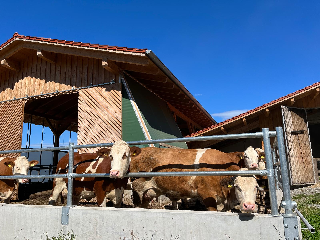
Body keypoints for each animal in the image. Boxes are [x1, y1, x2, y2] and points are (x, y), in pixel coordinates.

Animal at [109, 142, 260, 213]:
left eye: (256, 188)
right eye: (237, 187)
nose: (249, 206)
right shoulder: (208, 197)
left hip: (149, 193)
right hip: (137, 190)